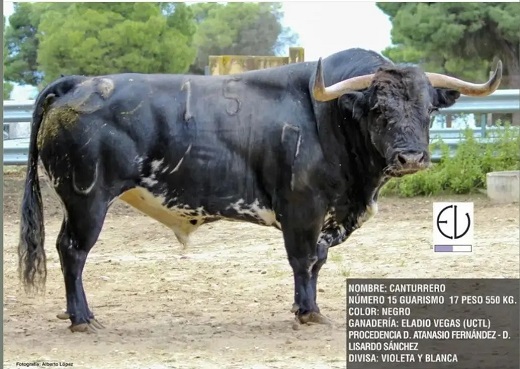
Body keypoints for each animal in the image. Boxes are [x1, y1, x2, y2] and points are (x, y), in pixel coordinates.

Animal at [18, 48, 502, 330]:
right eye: (378, 108)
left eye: (429, 109)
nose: (411, 158)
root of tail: (79, 82)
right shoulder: (301, 208)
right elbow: (303, 260)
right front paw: (308, 313)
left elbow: (317, 261)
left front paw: (306, 307)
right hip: (86, 199)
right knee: (72, 252)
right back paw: (82, 318)